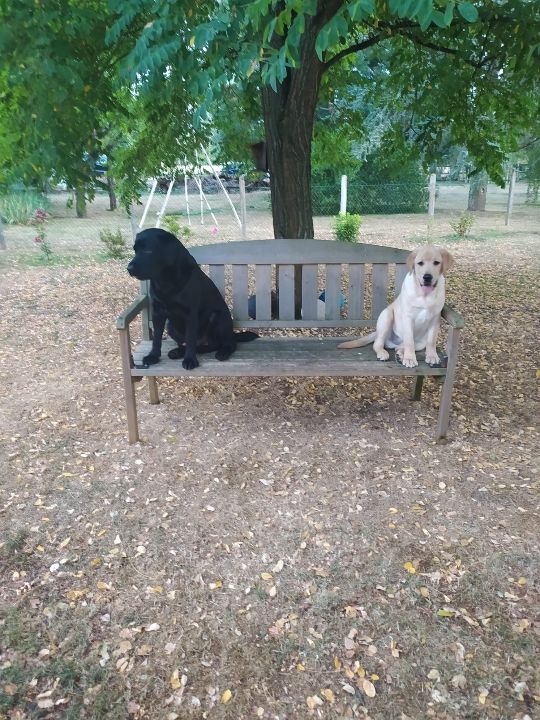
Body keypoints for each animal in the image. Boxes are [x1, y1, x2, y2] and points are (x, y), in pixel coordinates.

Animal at [126, 226, 258, 372]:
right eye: (135, 250)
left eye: (148, 250)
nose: (129, 268)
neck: (166, 281)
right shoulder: (157, 313)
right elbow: (156, 339)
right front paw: (153, 356)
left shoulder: (190, 314)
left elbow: (190, 339)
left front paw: (190, 360)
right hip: (170, 325)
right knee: (201, 345)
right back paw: (178, 351)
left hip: (217, 317)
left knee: (227, 343)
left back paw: (222, 352)